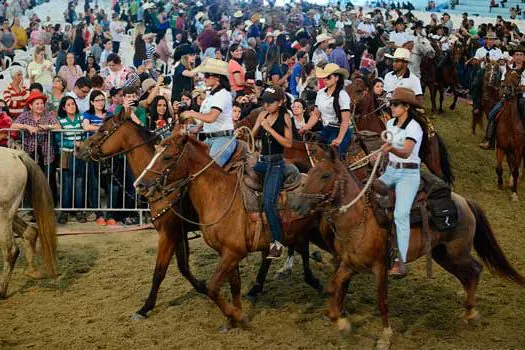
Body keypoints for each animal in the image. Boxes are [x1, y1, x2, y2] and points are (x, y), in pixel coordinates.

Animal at [0, 148, 57, 298]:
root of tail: (16, 154)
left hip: (3, 214)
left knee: (11, 250)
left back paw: (1, 291)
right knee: (31, 232)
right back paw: (32, 272)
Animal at [131, 131, 328, 328]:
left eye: (167, 157)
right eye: (155, 152)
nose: (139, 184)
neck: (218, 194)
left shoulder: (179, 237)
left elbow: (176, 277)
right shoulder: (219, 249)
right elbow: (231, 283)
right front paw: (234, 318)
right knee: (296, 251)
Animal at [292, 146, 524, 348]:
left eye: (325, 175)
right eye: (310, 172)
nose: (297, 205)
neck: (360, 220)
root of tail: (464, 201)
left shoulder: (380, 267)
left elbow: (382, 301)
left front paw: (385, 336)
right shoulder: (349, 265)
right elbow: (333, 287)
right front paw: (341, 324)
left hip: (457, 252)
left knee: (475, 269)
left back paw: (471, 313)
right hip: (442, 255)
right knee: (466, 275)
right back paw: (467, 309)